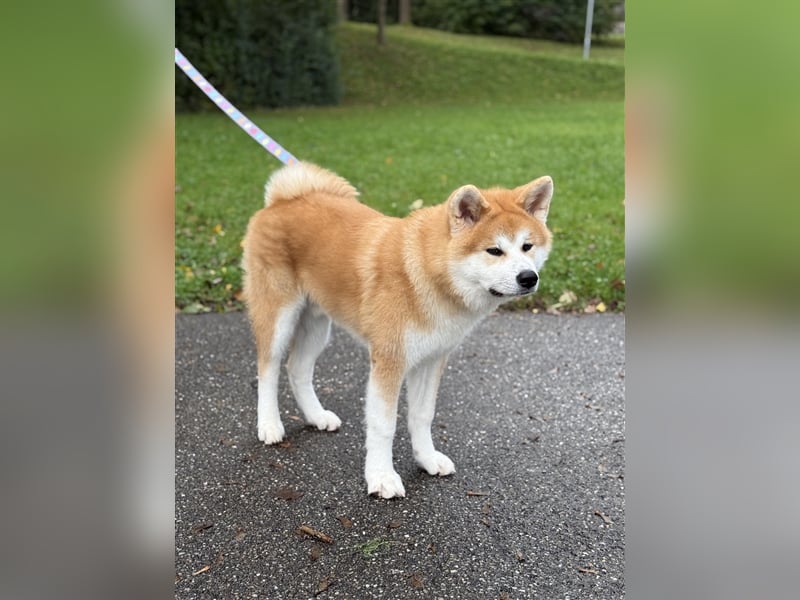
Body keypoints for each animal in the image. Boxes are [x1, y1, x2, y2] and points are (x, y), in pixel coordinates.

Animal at [241, 162, 552, 500]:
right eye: (494, 250)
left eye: (527, 246)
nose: (528, 277)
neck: (427, 277)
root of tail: (283, 200)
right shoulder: (389, 361)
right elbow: (384, 425)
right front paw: (381, 477)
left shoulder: (431, 360)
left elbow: (422, 415)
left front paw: (426, 459)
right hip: (279, 316)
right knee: (268, 368)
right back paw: (269, 424)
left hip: (317, 324)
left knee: (297, 369)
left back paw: (316, 416)